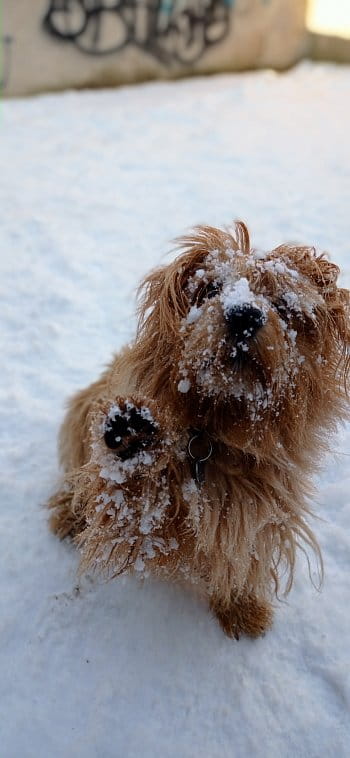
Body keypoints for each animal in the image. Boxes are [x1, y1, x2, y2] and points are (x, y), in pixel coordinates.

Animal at [47, 223, 350, 640]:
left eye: (282, 303)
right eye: (210, 288)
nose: (243, 314)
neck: (213, 430)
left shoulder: (262, 505)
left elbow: (244, 550)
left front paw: (241, 606)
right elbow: (131, 503)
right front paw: (132, 439)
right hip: (83, 411)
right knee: (78, 476)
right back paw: (73, 508)